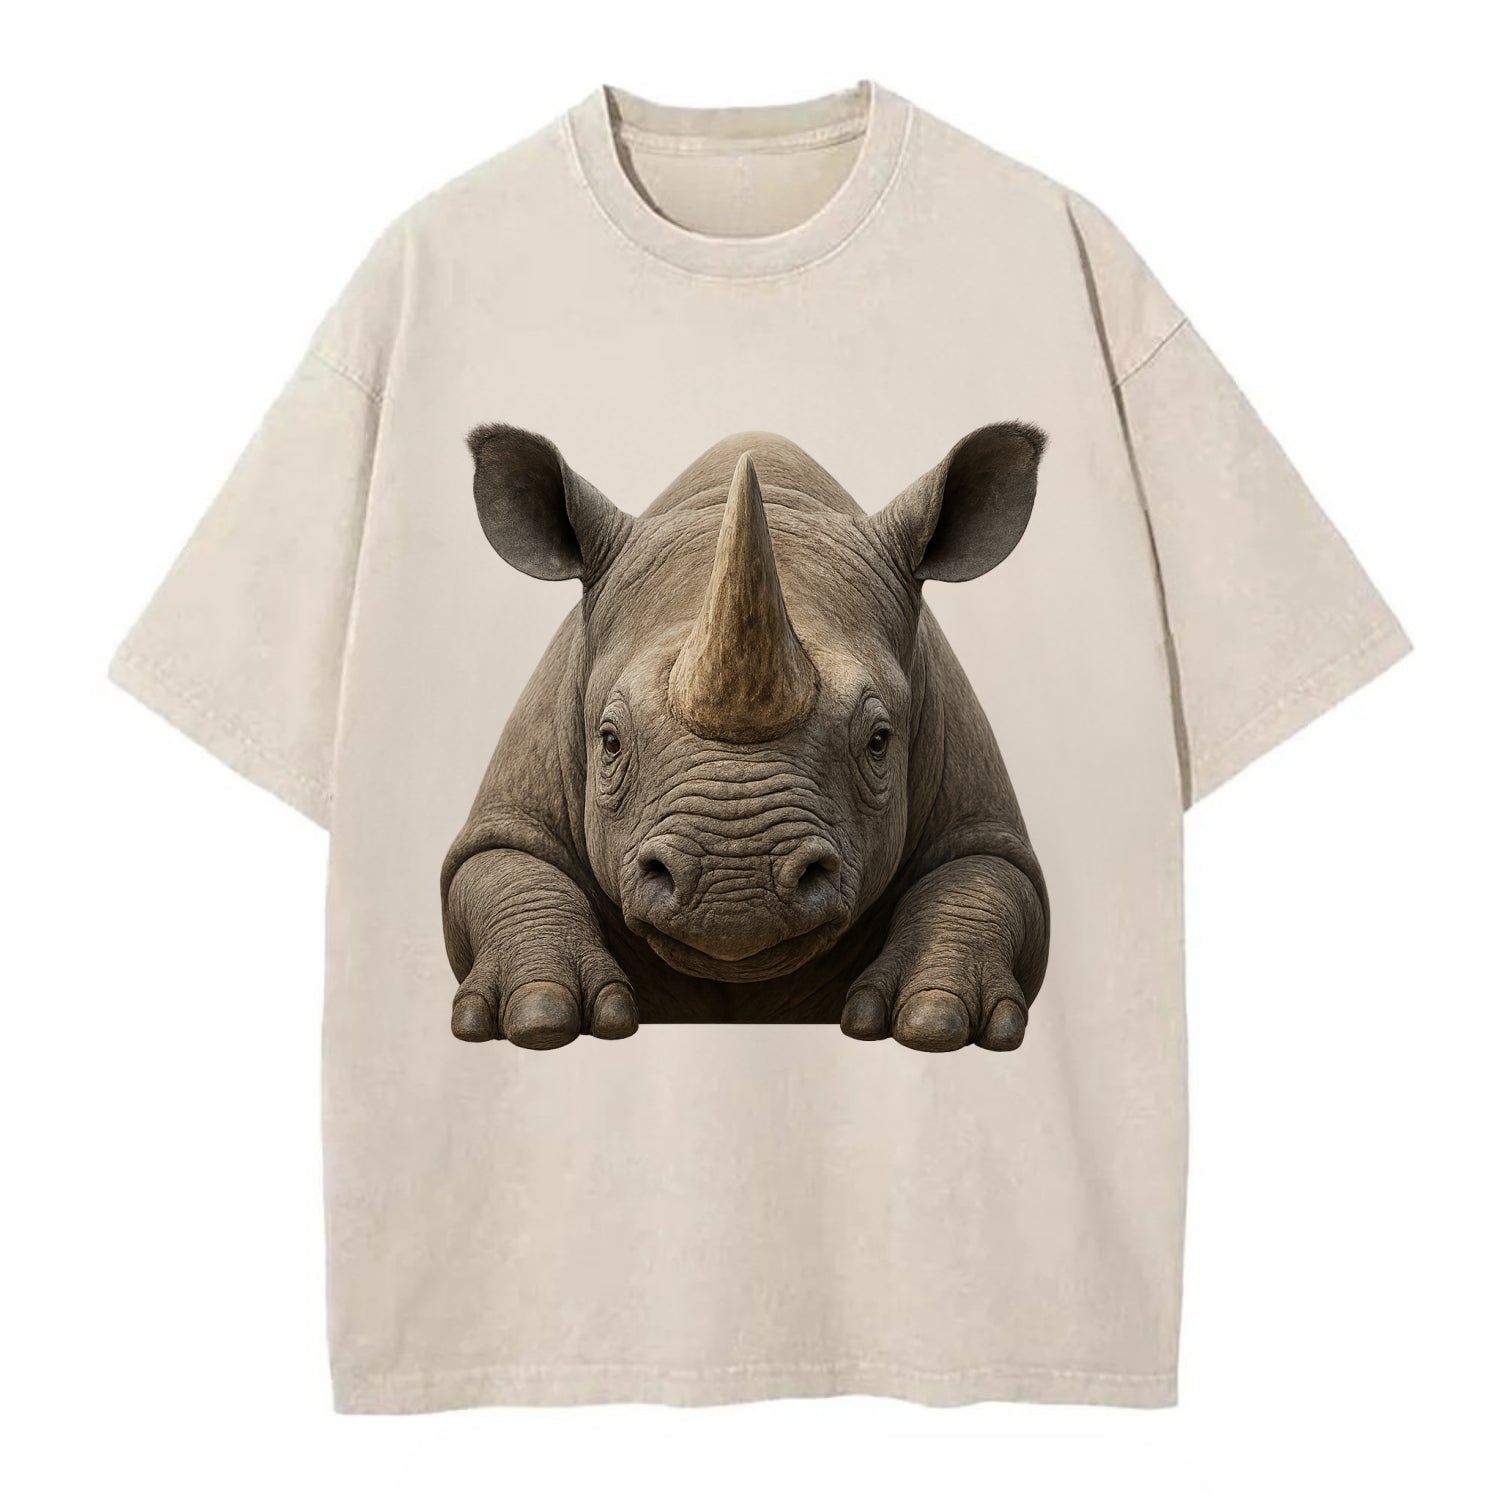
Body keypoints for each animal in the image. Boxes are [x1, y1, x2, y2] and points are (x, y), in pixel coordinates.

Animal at [441, 423, 1050, 1053]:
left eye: (879, 741)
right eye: (609, 741)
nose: (735, 890)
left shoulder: (976, 807)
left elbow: (983, 876)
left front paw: (936, 1021)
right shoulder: (514, 803)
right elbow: (503, 865)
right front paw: (539, 1016)